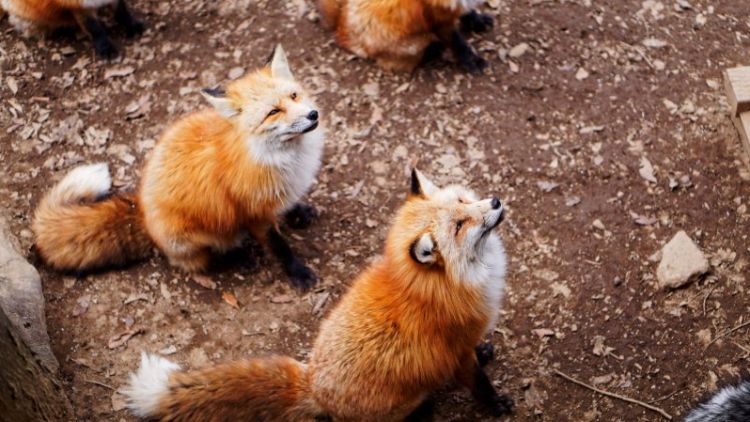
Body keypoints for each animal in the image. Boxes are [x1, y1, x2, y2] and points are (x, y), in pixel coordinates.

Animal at [32, 45, 324, 289]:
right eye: (273, 112)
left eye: (294, 95)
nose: (313, 115)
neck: (282, 159)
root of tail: (143, 211)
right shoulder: (255, 213)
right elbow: (279, 246)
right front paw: (298, 273)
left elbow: (287, 206)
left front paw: (298, 211)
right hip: (197, 237)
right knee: (205, 259)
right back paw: (237, 256)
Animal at [123, 169, 513, 421]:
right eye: (459, 225)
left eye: (464, 200)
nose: (496, 201)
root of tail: (310, 384)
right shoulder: (455, 354)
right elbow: (479, 383)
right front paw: (496, 405)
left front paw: (485, 350)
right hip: (404, 402)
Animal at [318, 0, 494, 72]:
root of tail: (339, 25)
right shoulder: (437, 19)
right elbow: (459, 44)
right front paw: (473, 60)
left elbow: (466, 13)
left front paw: (477, 20)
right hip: (406, 44)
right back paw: (435, 49)